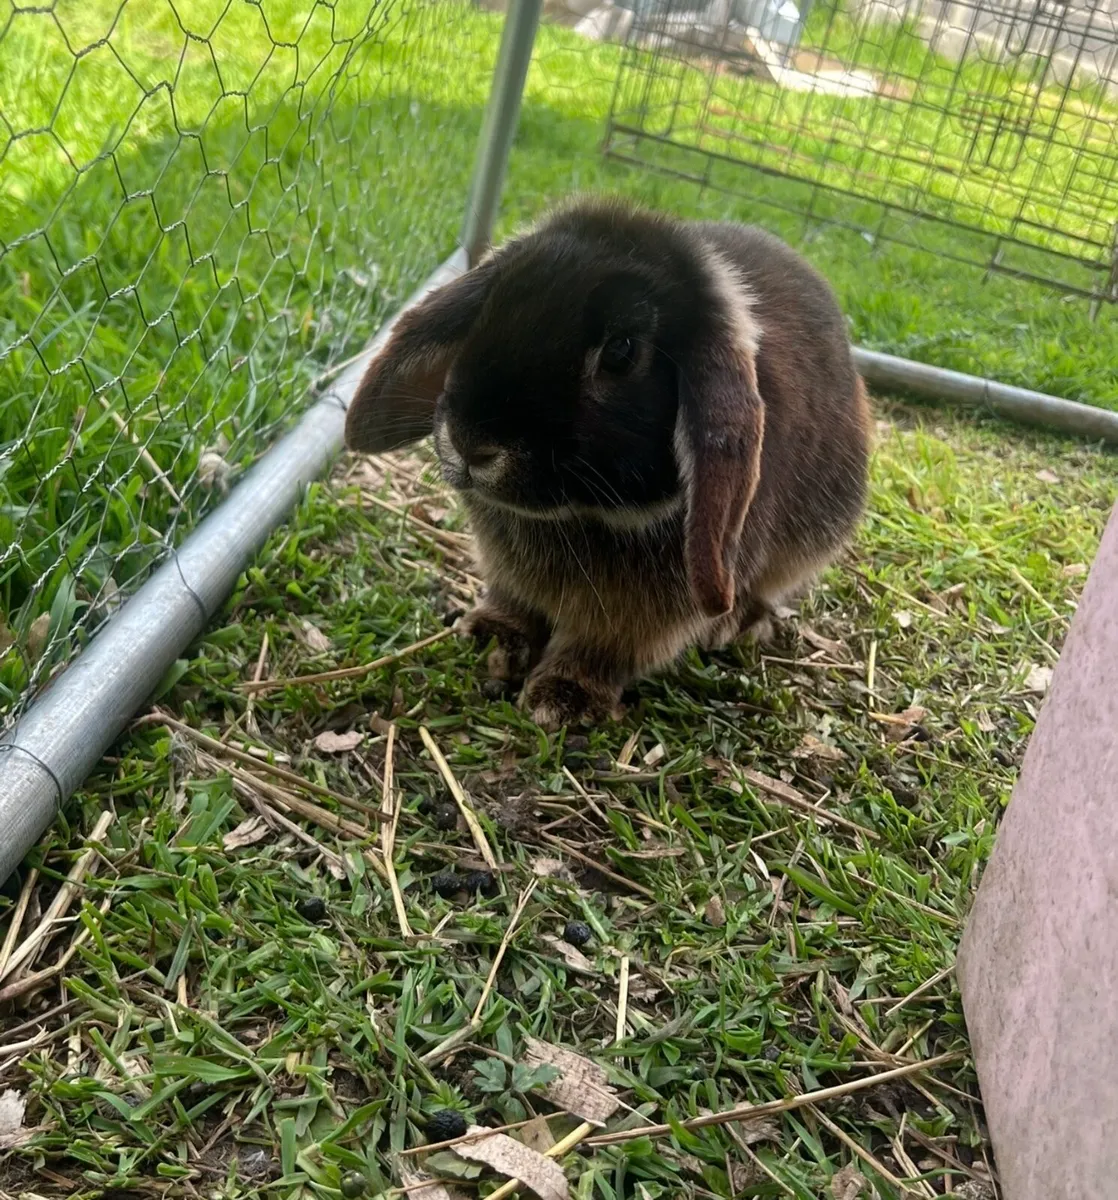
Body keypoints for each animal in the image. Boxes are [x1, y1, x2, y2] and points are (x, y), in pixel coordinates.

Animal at [345, 199, 871, 729]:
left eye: (621, 352)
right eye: (489, 309)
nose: (471, 444)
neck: (586, 517)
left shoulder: (644, 619)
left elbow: (606, 650)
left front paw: (562, 699)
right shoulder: (506, 573)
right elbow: (513, 602)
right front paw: (490, 637)